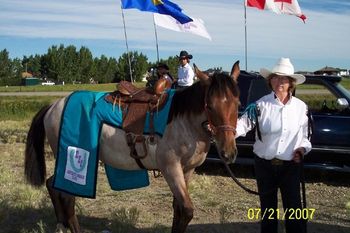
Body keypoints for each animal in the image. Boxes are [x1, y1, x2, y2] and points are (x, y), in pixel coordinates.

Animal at [23, 61, 241, 232]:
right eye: (210, 106)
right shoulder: (170, 168)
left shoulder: (187, 170)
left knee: (53, 185)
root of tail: (53, 106)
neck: (182, 120)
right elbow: (186, 210)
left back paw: (61, 225)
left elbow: (178, 209)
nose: (228, 152)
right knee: (67, 196)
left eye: (238, 104)